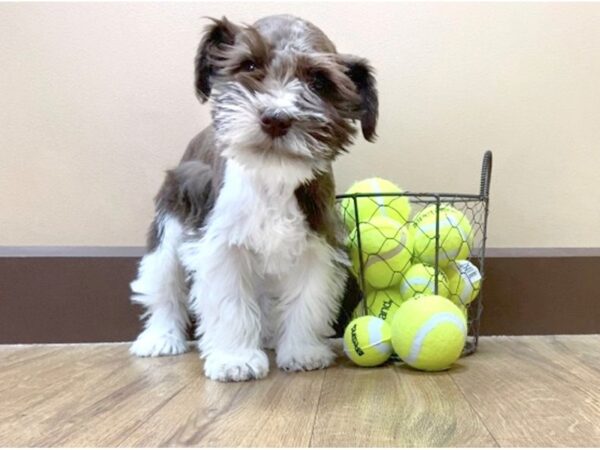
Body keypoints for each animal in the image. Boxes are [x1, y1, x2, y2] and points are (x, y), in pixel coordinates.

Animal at [129, 14, 378, 382]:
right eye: (248, 65)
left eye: (319, 82)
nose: (276, 117)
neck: (273, 175)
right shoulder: (221, 244)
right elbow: (230, 303)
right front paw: (235, 358)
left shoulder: (317, 240)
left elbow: (308, 298)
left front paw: (302, 350)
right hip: (170, 225)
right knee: (163, 287)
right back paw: (160, 337)